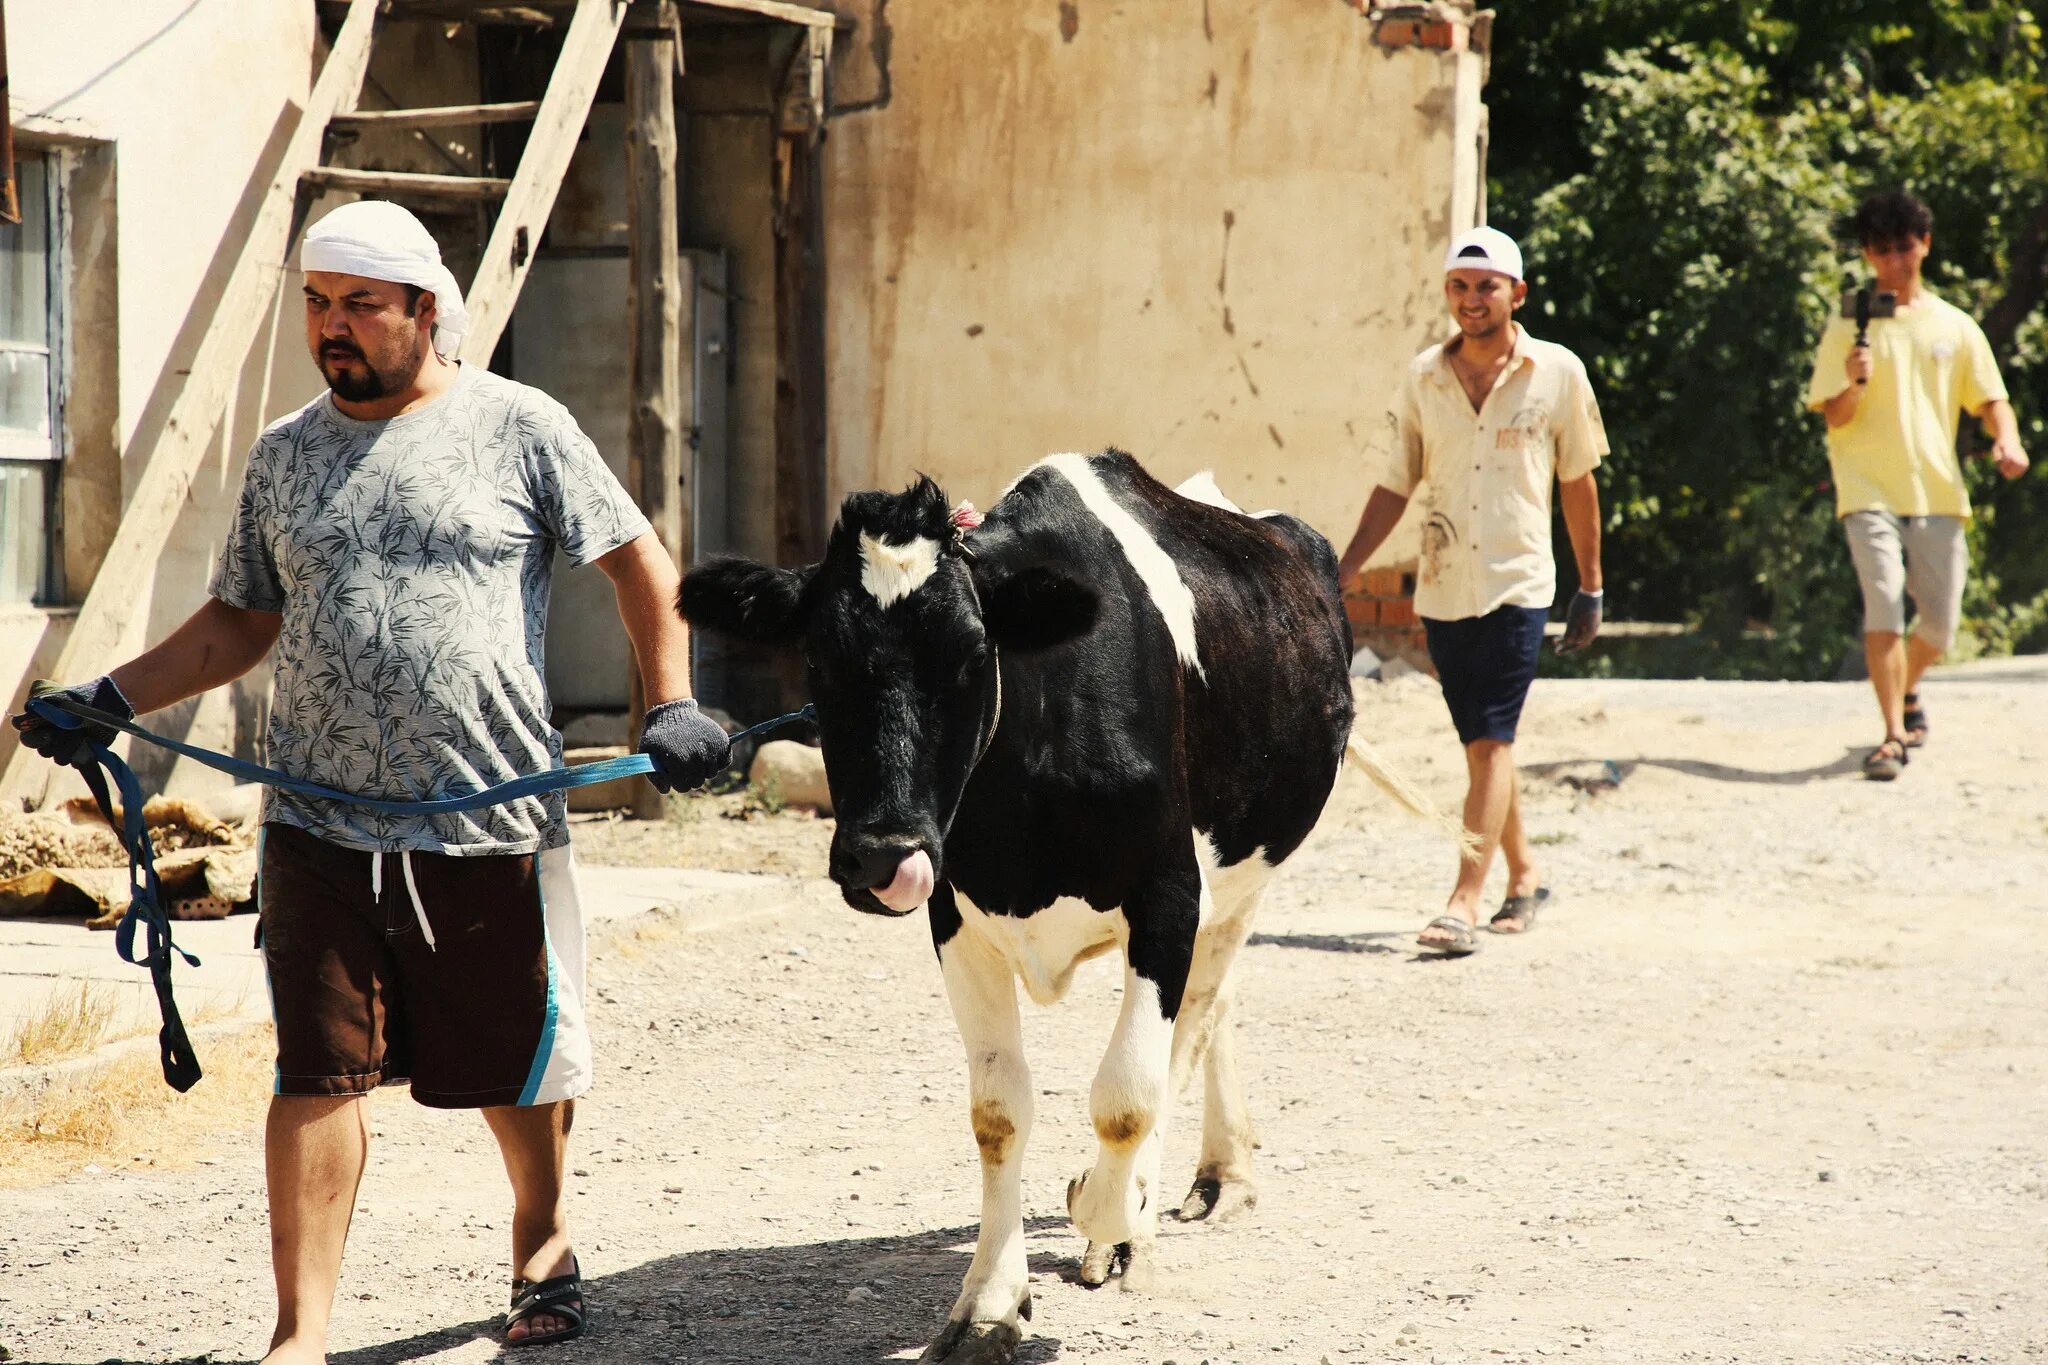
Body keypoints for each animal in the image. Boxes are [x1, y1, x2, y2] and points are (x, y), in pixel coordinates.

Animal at [675, 450, 1359, 1365]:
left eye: (972, 656)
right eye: (817, 658)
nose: (882, 852)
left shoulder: (1169, 895)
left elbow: (1127, 1096)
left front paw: (1110, 1210)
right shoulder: (956, 916)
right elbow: (997, 1113)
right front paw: (991, 1304)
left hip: (1251, 870)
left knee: (1198, 1016)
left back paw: (1178, 1197)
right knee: (1215, 1009)